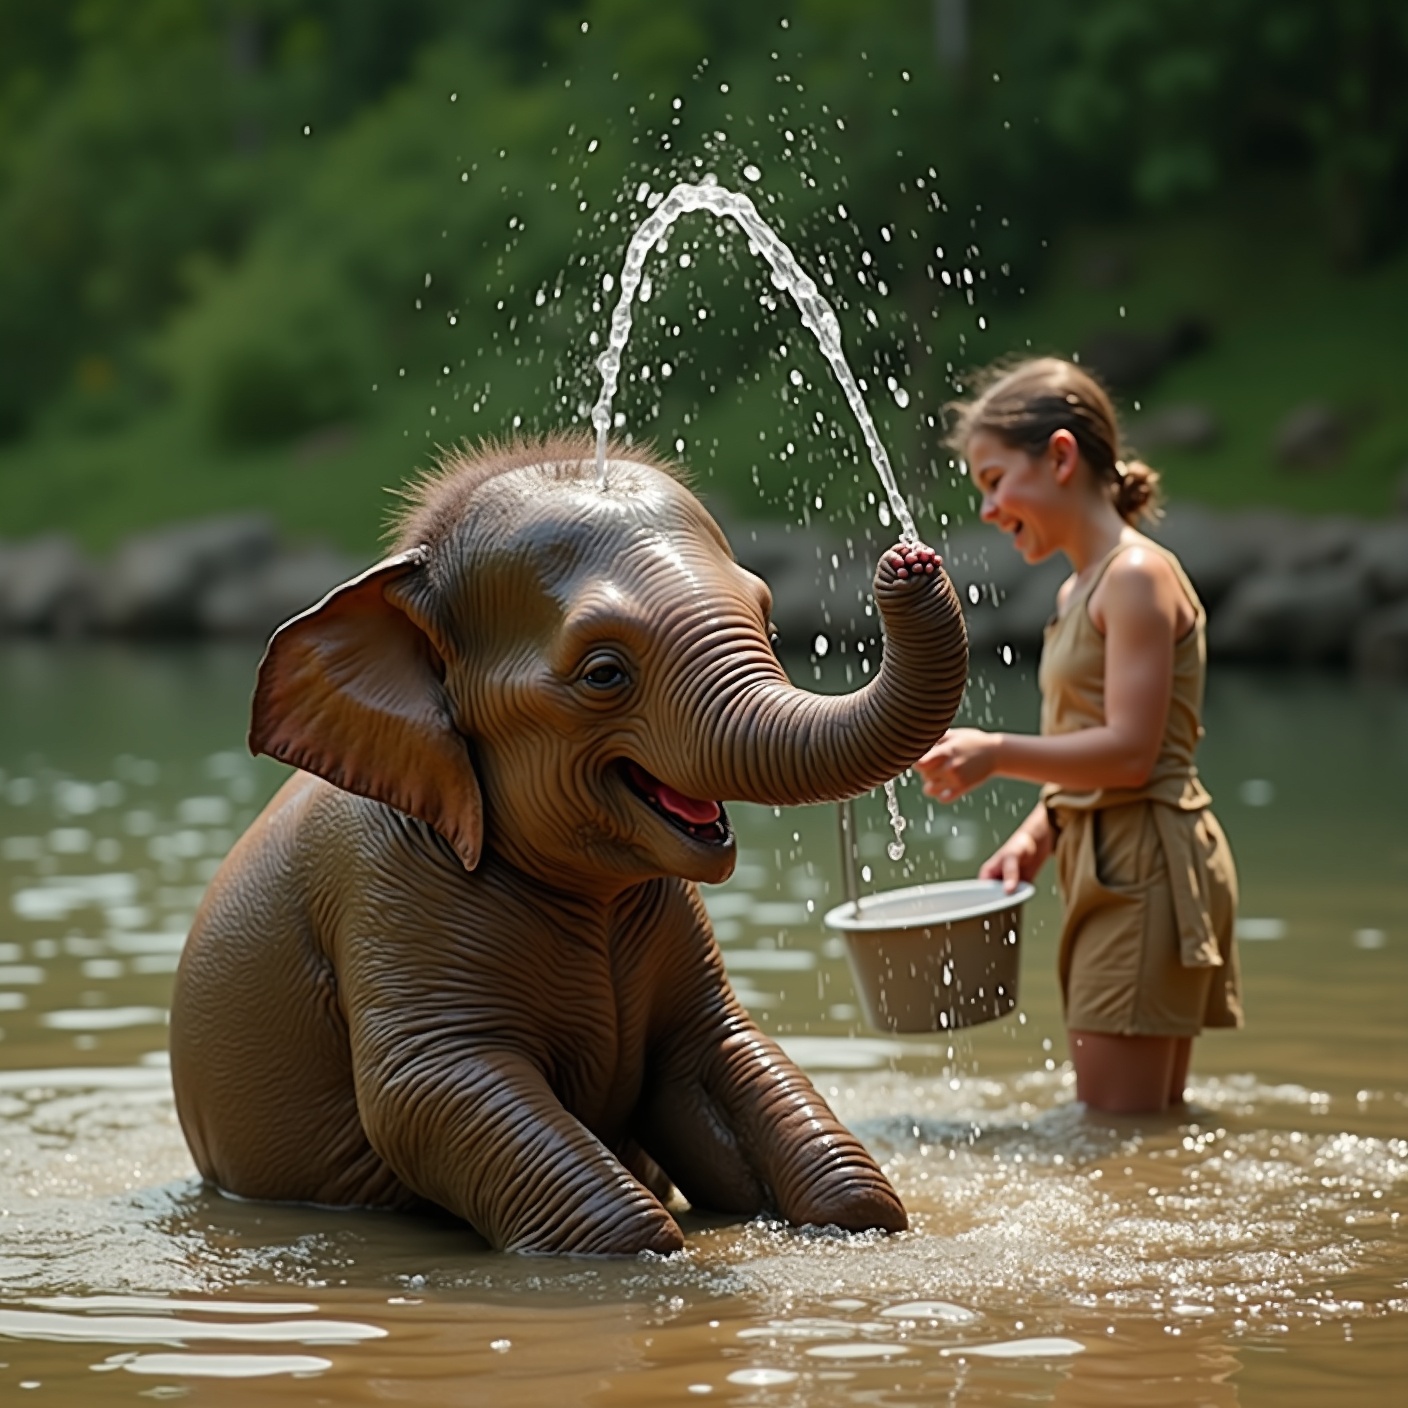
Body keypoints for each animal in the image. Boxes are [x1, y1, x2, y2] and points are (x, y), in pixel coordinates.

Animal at [169, 435, 969, 1256]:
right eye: (604, 673)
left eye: (770, 622)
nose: (909, 560)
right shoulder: (381, 891)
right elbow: (424, 1089)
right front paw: (646, 1252)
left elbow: (721, 1056)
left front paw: (858, 1217)